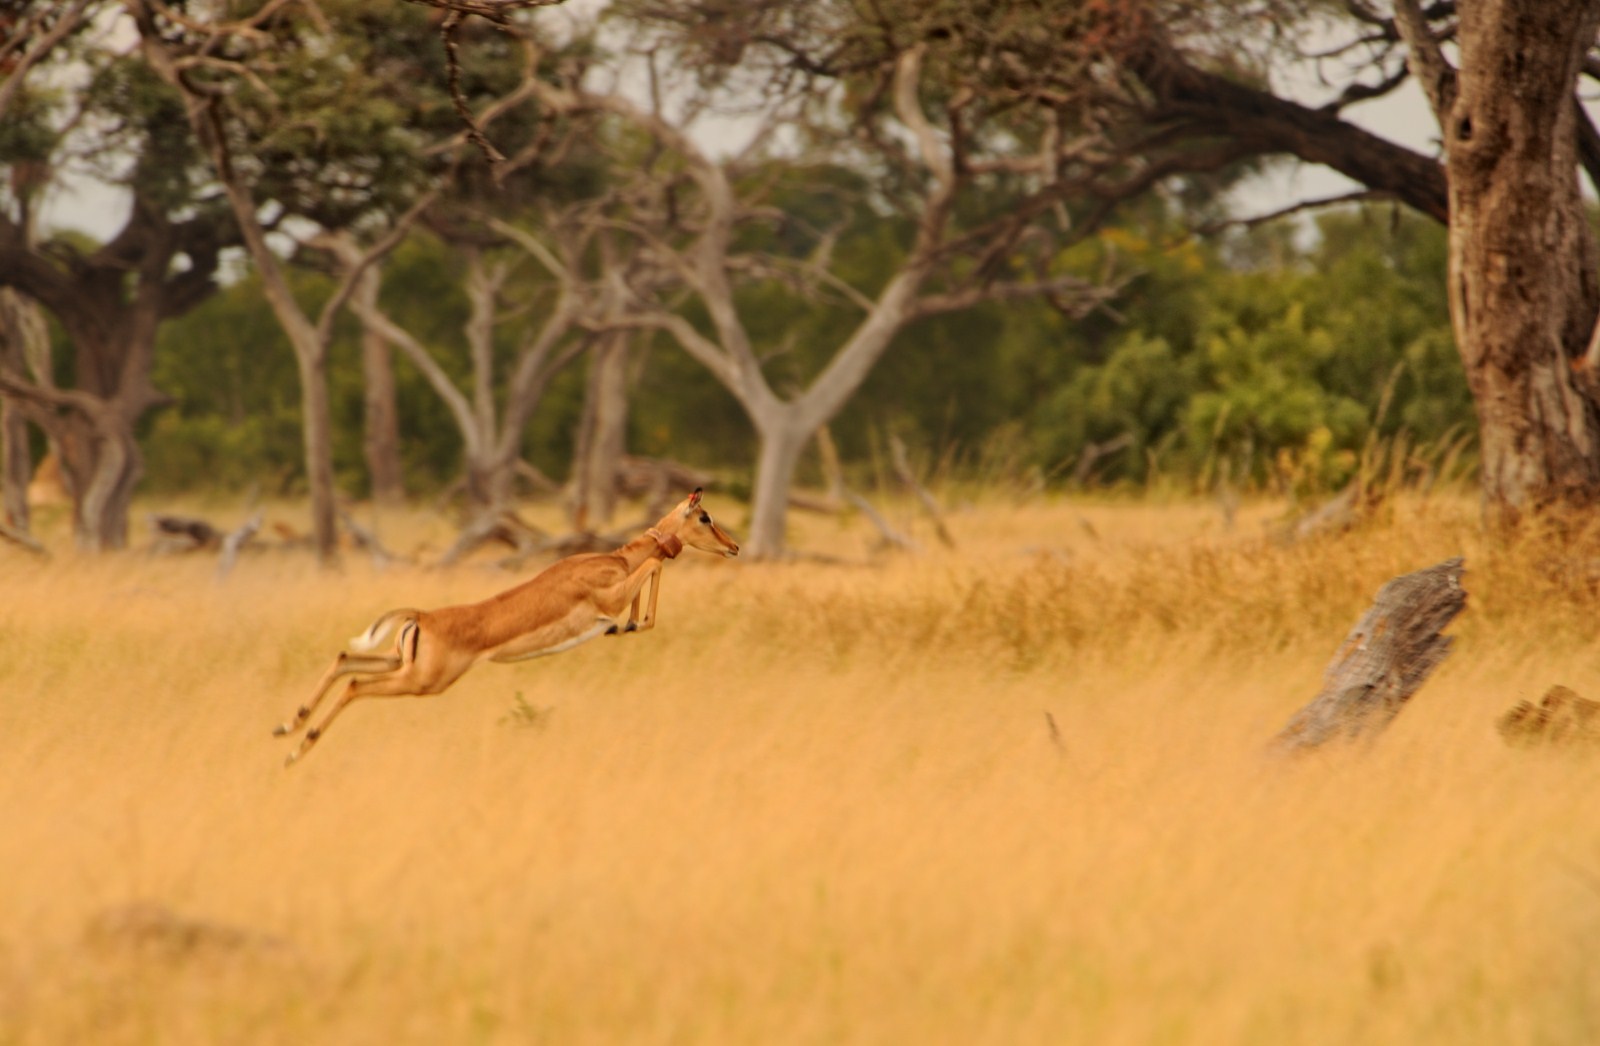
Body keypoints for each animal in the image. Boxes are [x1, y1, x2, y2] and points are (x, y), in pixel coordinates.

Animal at [273, 489, 739, 766]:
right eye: (705, 517)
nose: (733, 546)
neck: (612, 561)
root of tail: (421, 617)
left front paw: (625, 627)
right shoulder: (611, 596)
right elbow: (654, 567)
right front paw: (629, 624)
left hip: (400, 662)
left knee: (343, 658)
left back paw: (287, 727)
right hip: (422, 681)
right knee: (355, 686)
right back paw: (297, 749)